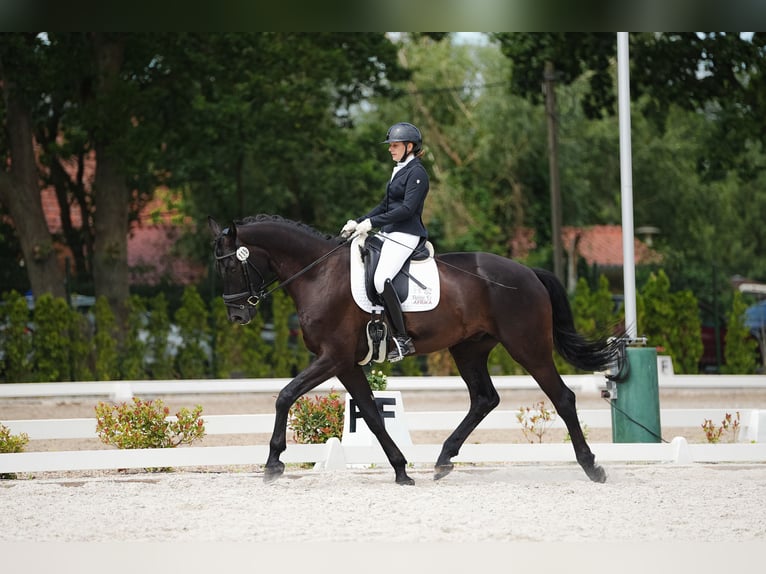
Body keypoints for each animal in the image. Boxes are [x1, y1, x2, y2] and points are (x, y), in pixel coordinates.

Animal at [208, 214, 625, 485]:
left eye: (230, 266)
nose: (237, 315)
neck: (317, 274)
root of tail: (528, 273)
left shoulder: (333, 357)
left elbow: (285, 395)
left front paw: (272, 463)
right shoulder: (346, 363)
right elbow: (371, 415)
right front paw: (401, 470)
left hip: (528, 347)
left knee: (562, 398)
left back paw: (593, 467)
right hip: (468, 349)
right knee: (484, 399)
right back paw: (442, 460)